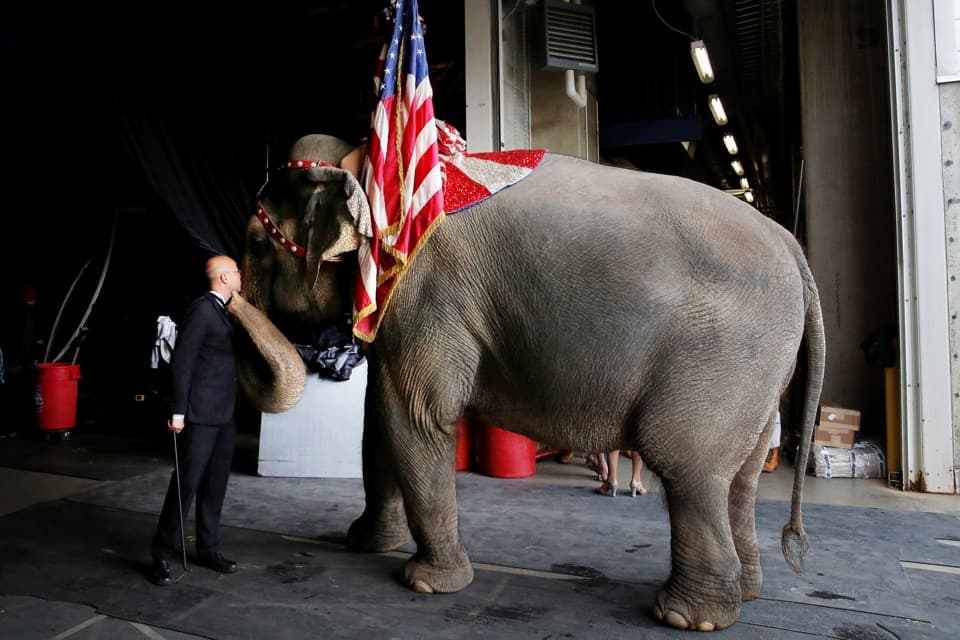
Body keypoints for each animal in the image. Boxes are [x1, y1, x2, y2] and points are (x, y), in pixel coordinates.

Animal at [227, 134, 824, 632]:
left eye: (255, 244)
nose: (223, 289)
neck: (373, 163)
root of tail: (794, 249)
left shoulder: (425, 292)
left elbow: (416, 414)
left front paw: (426, 583)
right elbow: (379, 420)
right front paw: (364, 545)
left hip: (723, 355)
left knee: (687, 463)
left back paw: (686, 618)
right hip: (759, 371)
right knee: (740, 478)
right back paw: (745, 594)